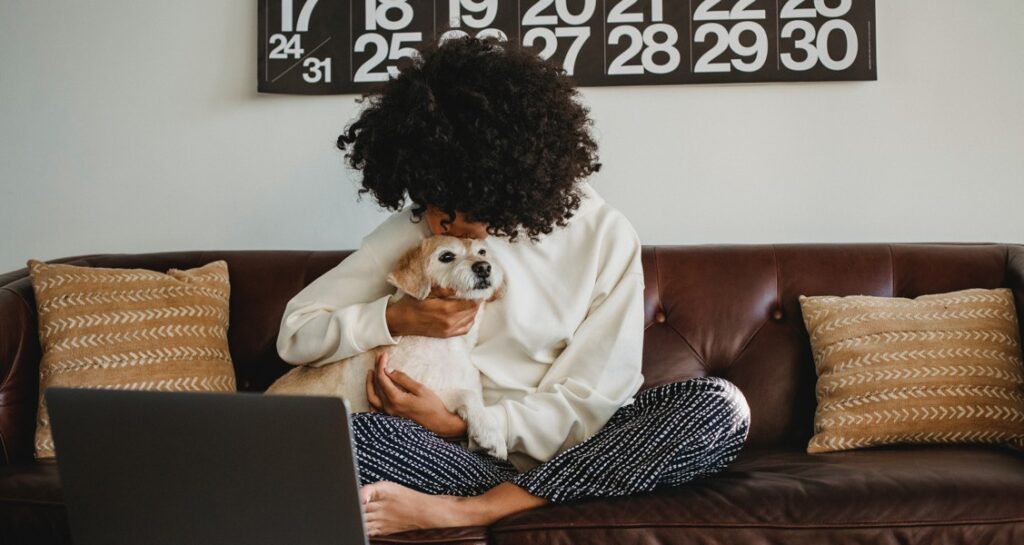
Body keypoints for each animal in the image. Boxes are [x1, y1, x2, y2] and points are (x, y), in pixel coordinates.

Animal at [264, 235, 503, 458]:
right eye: (446, 256)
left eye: (482, 252)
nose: (483, 267)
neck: (447, 343)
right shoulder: (406, 389)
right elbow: (465, 394)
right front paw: (489, 432)